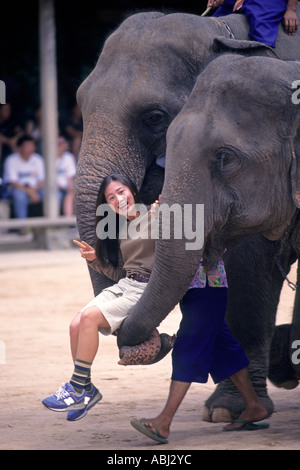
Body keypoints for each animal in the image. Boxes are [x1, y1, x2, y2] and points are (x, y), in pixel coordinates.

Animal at [74, 5, 300, 420]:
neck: (219, 29)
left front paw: (228, 412)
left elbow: (248, 264)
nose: (163, 340)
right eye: (80, 104)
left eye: (154, 117)